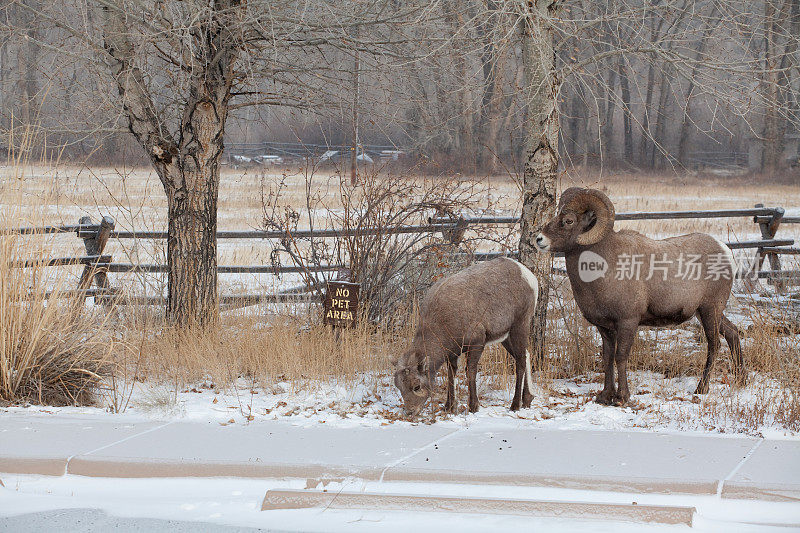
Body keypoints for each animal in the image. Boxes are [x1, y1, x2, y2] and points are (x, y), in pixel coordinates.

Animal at [392, 258, 536, 416]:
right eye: (399, 387)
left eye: (416, 387)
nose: (410, 412)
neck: (442, 320)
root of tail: (529, 276)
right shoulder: (452, 353)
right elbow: (451, 375)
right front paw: (449, 407)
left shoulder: (477, 343)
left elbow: (470, 372)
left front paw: (473, 407)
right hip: (505, 337)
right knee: (526, 355)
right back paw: (527, 400)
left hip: (519, 325)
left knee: (520, 362)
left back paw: (515, 405)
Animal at [536, 187, 744, 404]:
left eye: (568, 220)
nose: (539, 239)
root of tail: (725, 251)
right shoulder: (605, 327)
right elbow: (607, 358)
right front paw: (605, 396)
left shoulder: (628, 322)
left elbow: (620, 356)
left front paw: (622, 397)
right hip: (709, 313)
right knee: (732, 333)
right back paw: (741, 381)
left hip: (710, 310)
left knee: (714, 345)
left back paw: (701, 389)